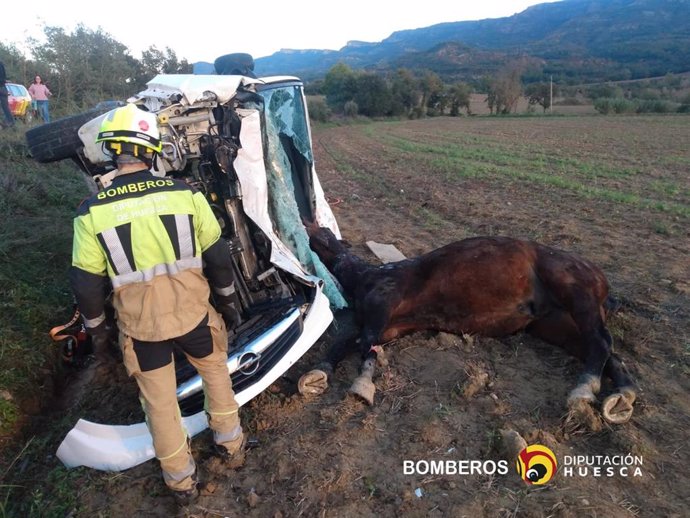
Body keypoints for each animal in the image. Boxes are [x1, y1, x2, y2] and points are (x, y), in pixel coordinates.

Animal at [300, 223, 636, 426]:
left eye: (325, 236)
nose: (308, 227)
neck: (365, 277)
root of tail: (599, 277)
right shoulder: (386, 326)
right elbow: (344, 343)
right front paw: (319, 373)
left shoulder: (382, 310)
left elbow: (365, 346)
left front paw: (362, 384)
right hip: (558, 325)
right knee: (604, 352)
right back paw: (621, 395)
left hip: (577, 294)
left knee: (601, 342)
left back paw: (584, 389)